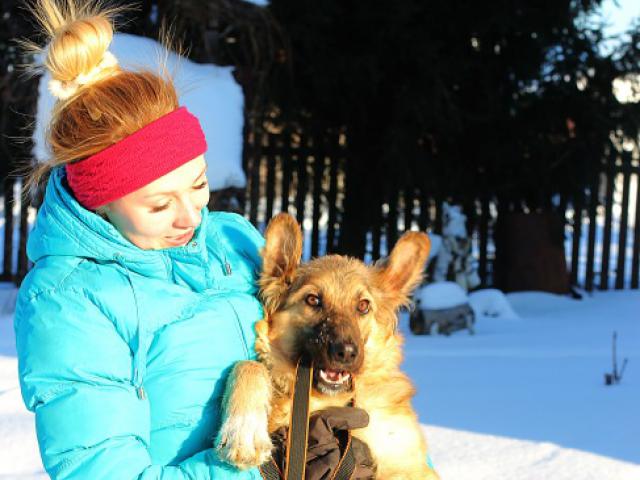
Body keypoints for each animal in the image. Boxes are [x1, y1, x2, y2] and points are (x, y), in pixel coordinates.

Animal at [215, 215, 440, 480]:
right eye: (313, 300)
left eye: (363, 305)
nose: (346, 353)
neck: (324, 401)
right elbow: (247, 365)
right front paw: (243, 434)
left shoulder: (406, 462)